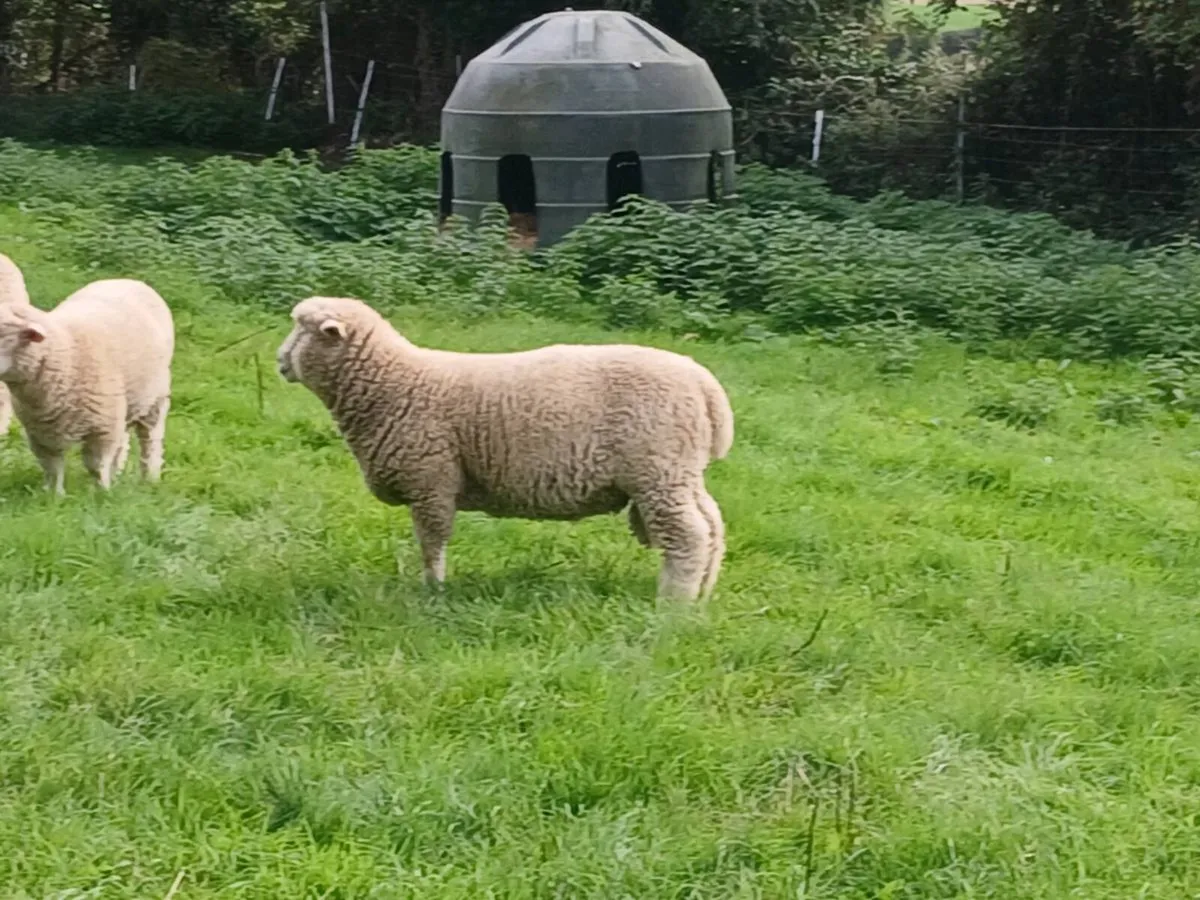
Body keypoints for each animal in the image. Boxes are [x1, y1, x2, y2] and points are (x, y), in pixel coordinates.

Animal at [0, 278, 175, 495]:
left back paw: (149, 478)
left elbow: (95, 465)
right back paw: (117, 474)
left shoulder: (102, 428)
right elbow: (52, 466)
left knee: (150, 439)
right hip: (125, 403)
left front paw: (102, 493)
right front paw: (55, 495)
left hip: (154, 397)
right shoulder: (38, 432)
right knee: (123, 442)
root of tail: (129, 280)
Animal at [277, 296, 735, 600]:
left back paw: (674, 602)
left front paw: (433, 590)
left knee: (689, 533)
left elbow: (432, 542)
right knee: (712, 524)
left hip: (657, 469)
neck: (396, 381)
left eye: (303, 329)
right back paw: (703, 592)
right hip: (679, 470)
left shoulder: (431, 481)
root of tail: (705, 385)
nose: (280, 361)